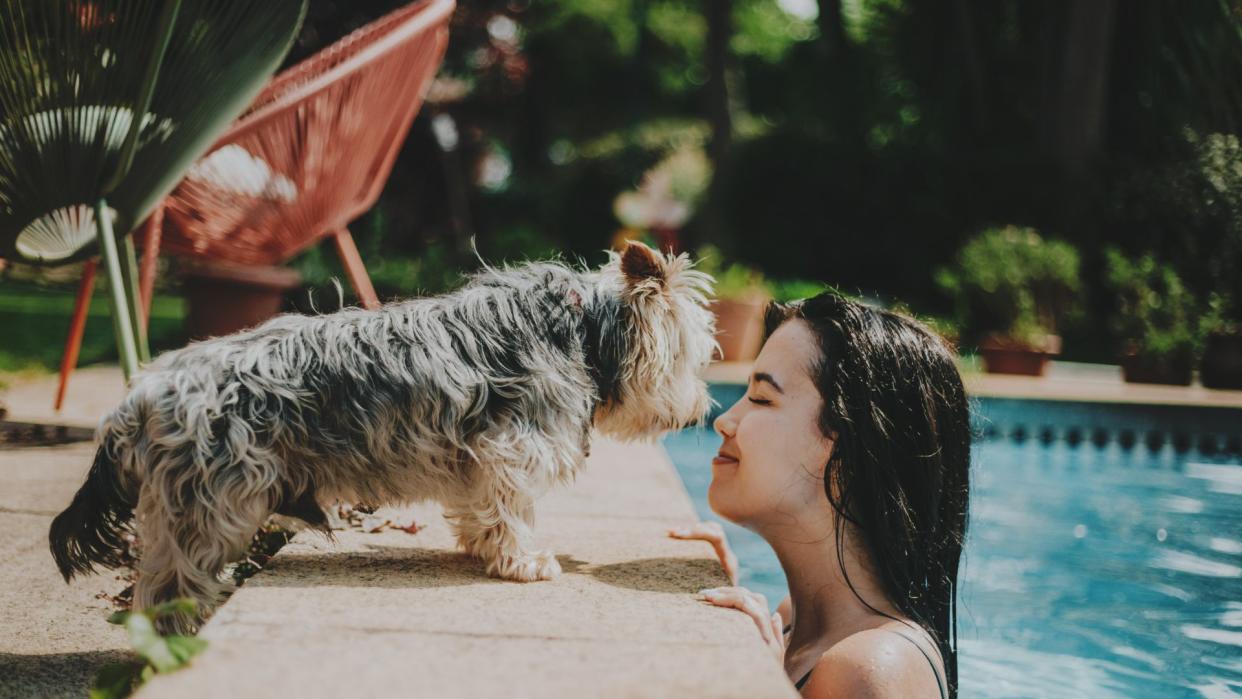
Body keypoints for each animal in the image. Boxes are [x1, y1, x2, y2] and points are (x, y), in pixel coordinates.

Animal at [48, 243, 720, 630]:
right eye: (690, 356)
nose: (701, 412)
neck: (584, 328)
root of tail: (142, 394)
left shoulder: (479, 457)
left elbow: (481, 509)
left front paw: (482, 549)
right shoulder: (512, 448)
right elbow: (512, 510)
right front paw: (523, 561)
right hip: (214, 505)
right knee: (168, 589)